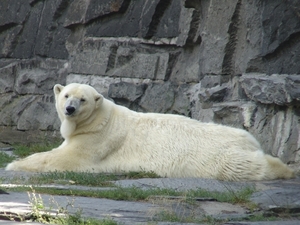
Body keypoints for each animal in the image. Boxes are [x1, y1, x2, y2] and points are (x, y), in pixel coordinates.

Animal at [5, 82, 294, 181]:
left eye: (82, 99)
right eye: (66, 94)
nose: (70, 109)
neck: (102, 119)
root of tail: (250, 140)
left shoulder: (97, 140)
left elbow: (64, 158)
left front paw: (13, 164)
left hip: (216, 156)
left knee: (243, 166)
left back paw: (287, 168)